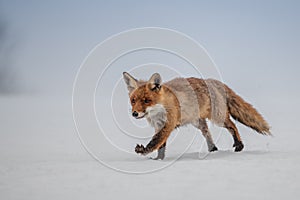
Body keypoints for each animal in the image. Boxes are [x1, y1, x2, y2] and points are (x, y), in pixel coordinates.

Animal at [123, 72, 270, 159]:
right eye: (133, 101)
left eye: (146, 101)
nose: (134, 113)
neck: (158, 111)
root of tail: (211, 80)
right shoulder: (158, 126)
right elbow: (161, 145)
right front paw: (158, 159)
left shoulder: (168, 125)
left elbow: (155, 141)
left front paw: (144, 151)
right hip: (198, 123)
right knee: (208, 133)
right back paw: (213, 150)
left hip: (217, 118)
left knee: (233, 125)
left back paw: (239, 145)